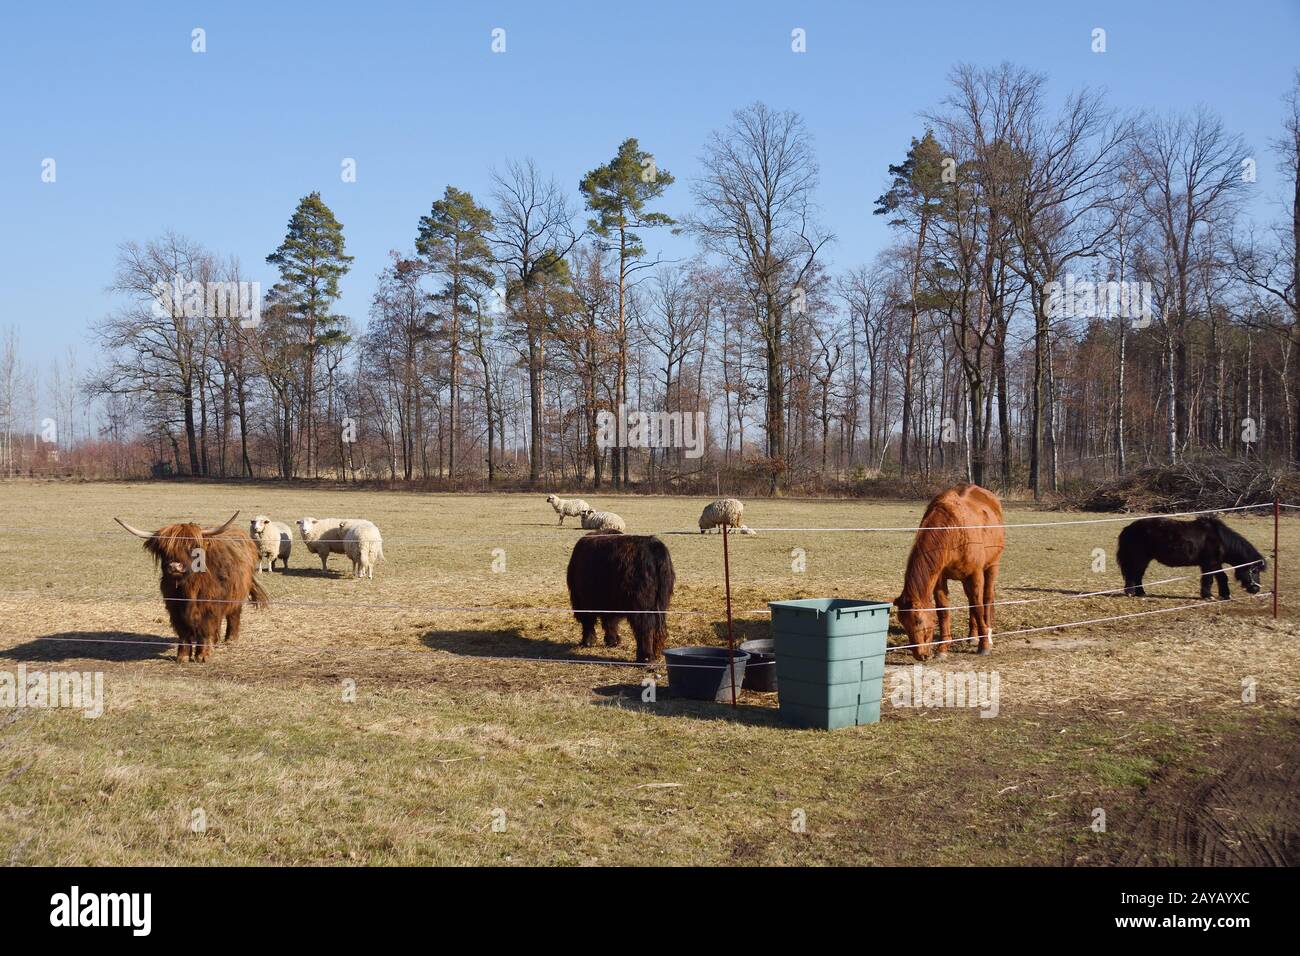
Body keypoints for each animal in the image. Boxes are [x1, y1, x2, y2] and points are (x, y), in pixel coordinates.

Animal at [114, 512, 268, 662]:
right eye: (164, 549)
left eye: (191, 546)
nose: (175, 566)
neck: (188, 588)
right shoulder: (174, 607)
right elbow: (183, 632)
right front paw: (182, 656)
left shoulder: (209, 606)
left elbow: (206, 629)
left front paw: (203, 655)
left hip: (236, 594)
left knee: (234, 614)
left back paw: (230, 639)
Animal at [566, 532, 675, 662]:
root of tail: (655, 546)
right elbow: (610, 621)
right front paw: (613, 641)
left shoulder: (583, 600)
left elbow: (589, 621)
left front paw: (588, 642)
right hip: (661, 603)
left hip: (641, 606)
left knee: (645, 627)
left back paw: (645, 658)